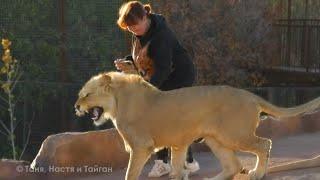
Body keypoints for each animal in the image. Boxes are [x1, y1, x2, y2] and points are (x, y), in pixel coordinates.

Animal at [74, 71, 320, 180]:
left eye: (86, 95)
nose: (75, 106)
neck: (117, 102)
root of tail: (250, 95)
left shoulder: (141, 146)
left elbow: (131, 173)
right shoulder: (178, 143)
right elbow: (176, 168)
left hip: (236, 135)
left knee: (264, 144)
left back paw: (257, 173)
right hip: (216, 139)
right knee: (233, 165)